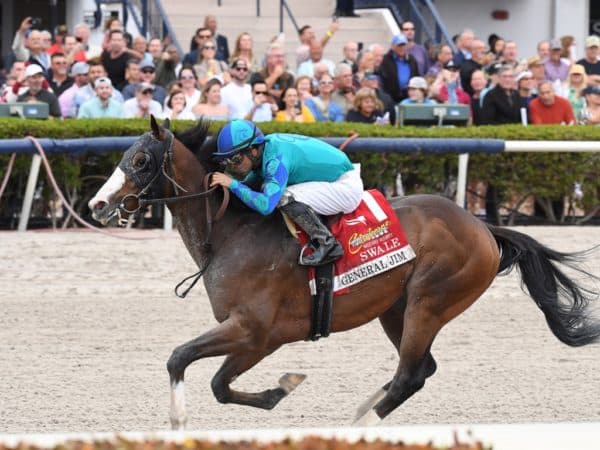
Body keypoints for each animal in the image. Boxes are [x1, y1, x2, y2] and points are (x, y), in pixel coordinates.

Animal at [86, 118, 596, 430]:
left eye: (141, 161)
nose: (97, 204)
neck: (230, 232)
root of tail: (483, 227)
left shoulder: (257, 332)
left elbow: (186, 362)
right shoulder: (255, 336)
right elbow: (215, 383)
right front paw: (279, 389)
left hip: (430, 302)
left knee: (410, 375)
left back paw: (363, 425)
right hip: (396, 309)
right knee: (418, 369)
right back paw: (360, 412)